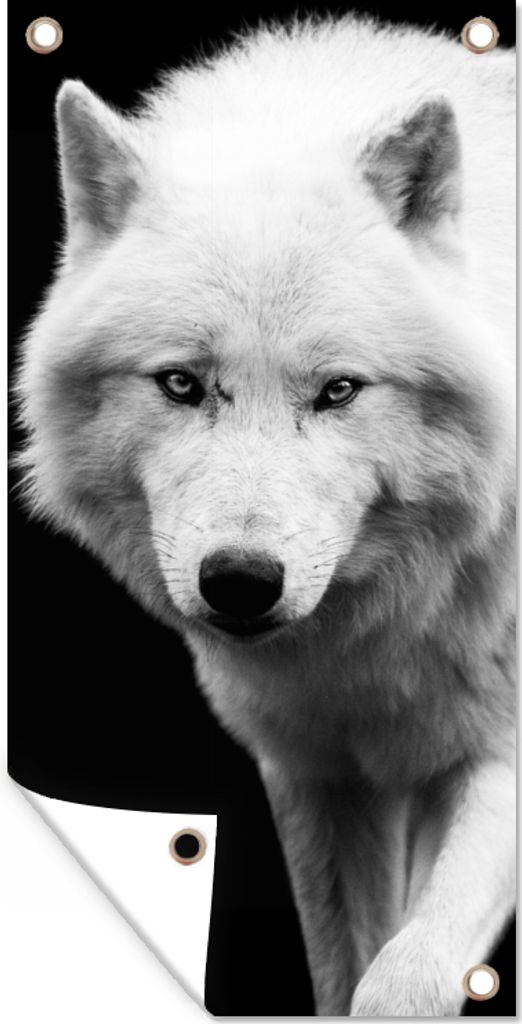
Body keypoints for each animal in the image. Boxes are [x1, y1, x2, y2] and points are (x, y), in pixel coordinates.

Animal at [16, 14, 515, 1017]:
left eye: (338, 390)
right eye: (181, 383)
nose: (241, 584)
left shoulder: (499, 756)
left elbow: (400, 980)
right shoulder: (317, 774)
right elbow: (344, 968)